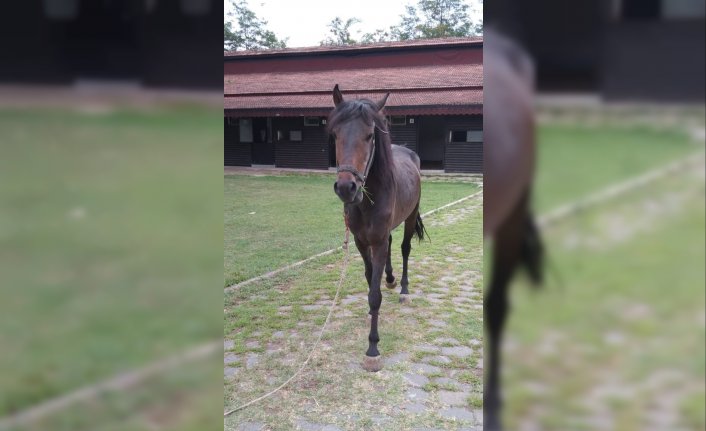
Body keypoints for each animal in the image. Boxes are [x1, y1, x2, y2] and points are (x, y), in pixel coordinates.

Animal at [328, 85, 426, 374]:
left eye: (370, 135)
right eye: (335, 134)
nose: (346, 187)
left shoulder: (378, 242)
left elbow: (374, 293)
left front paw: (372, 349)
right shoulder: (362, 242)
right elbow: (370, 277)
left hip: (410, 216)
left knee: (404, 248)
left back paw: (403, 289)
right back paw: (391, 279)